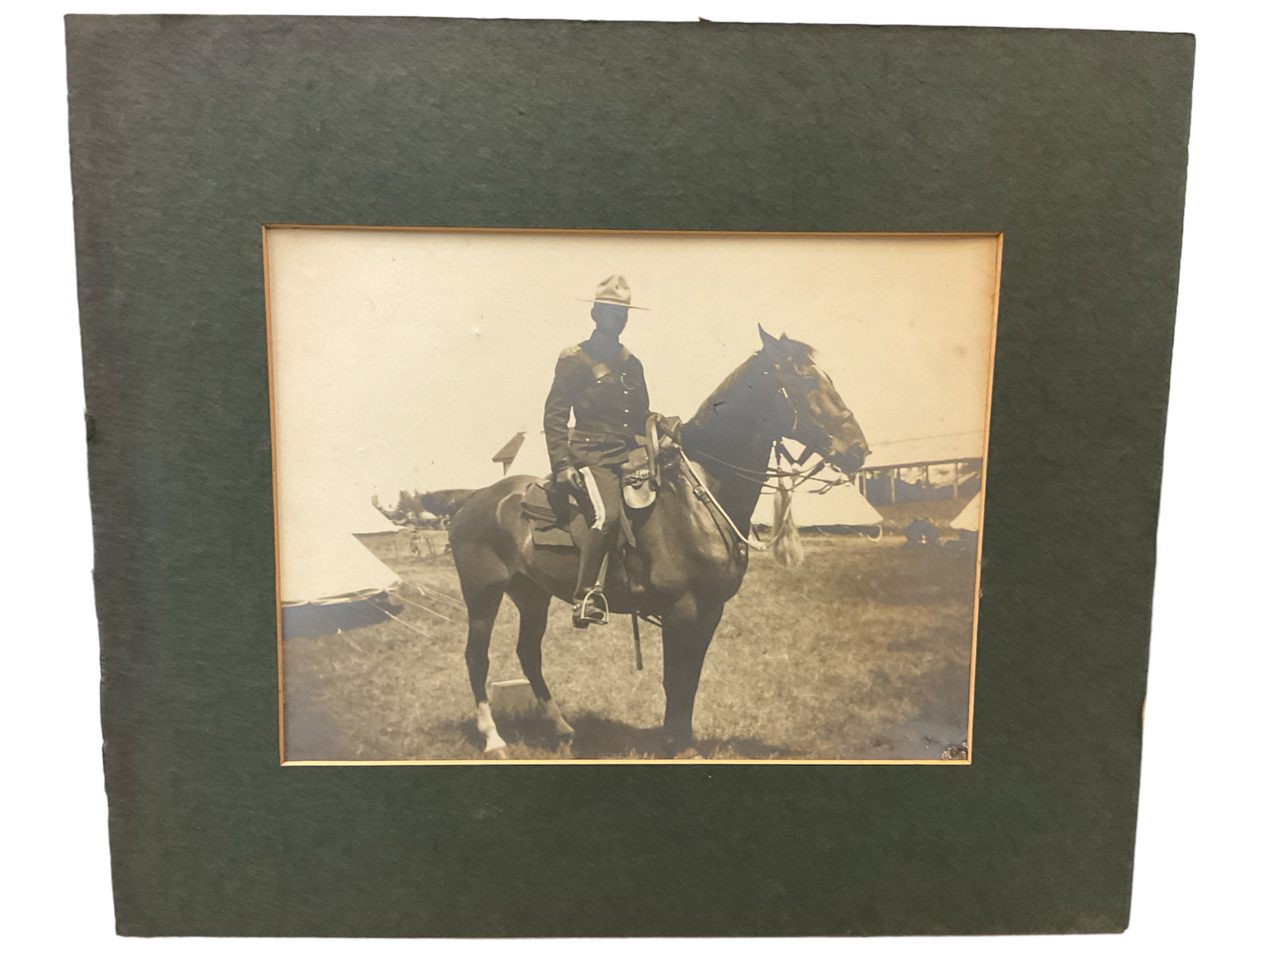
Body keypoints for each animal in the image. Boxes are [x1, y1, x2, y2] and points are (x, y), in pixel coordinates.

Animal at [447, 325, 869, 758]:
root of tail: (472, 501)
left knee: (529, 653)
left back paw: (563, 729)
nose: (858, 449)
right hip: (483, 594)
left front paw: (682, 739)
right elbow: (675, 679)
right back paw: (494, 739)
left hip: (532, 594)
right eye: (805, 380)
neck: (699, 494)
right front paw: (678, 745)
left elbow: (690, 680)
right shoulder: (681, 609)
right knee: (476, 658)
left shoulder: (710, 611)